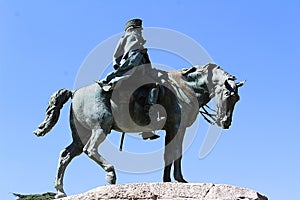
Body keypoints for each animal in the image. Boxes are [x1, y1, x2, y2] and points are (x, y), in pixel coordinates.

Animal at [33, 63, 244, 198]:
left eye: (237, 98)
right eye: (227, 94)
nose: (226, 122)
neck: (185, 87)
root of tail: (75, 92)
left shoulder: (174, 129)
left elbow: (171, 155)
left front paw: (170, 180)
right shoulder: (177, 127)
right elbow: (174, 153)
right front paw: (177, 180)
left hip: (81, 135)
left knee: (65, 155)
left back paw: (60, 191)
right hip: (101, 127)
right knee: (90, 149)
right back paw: (110, 174)